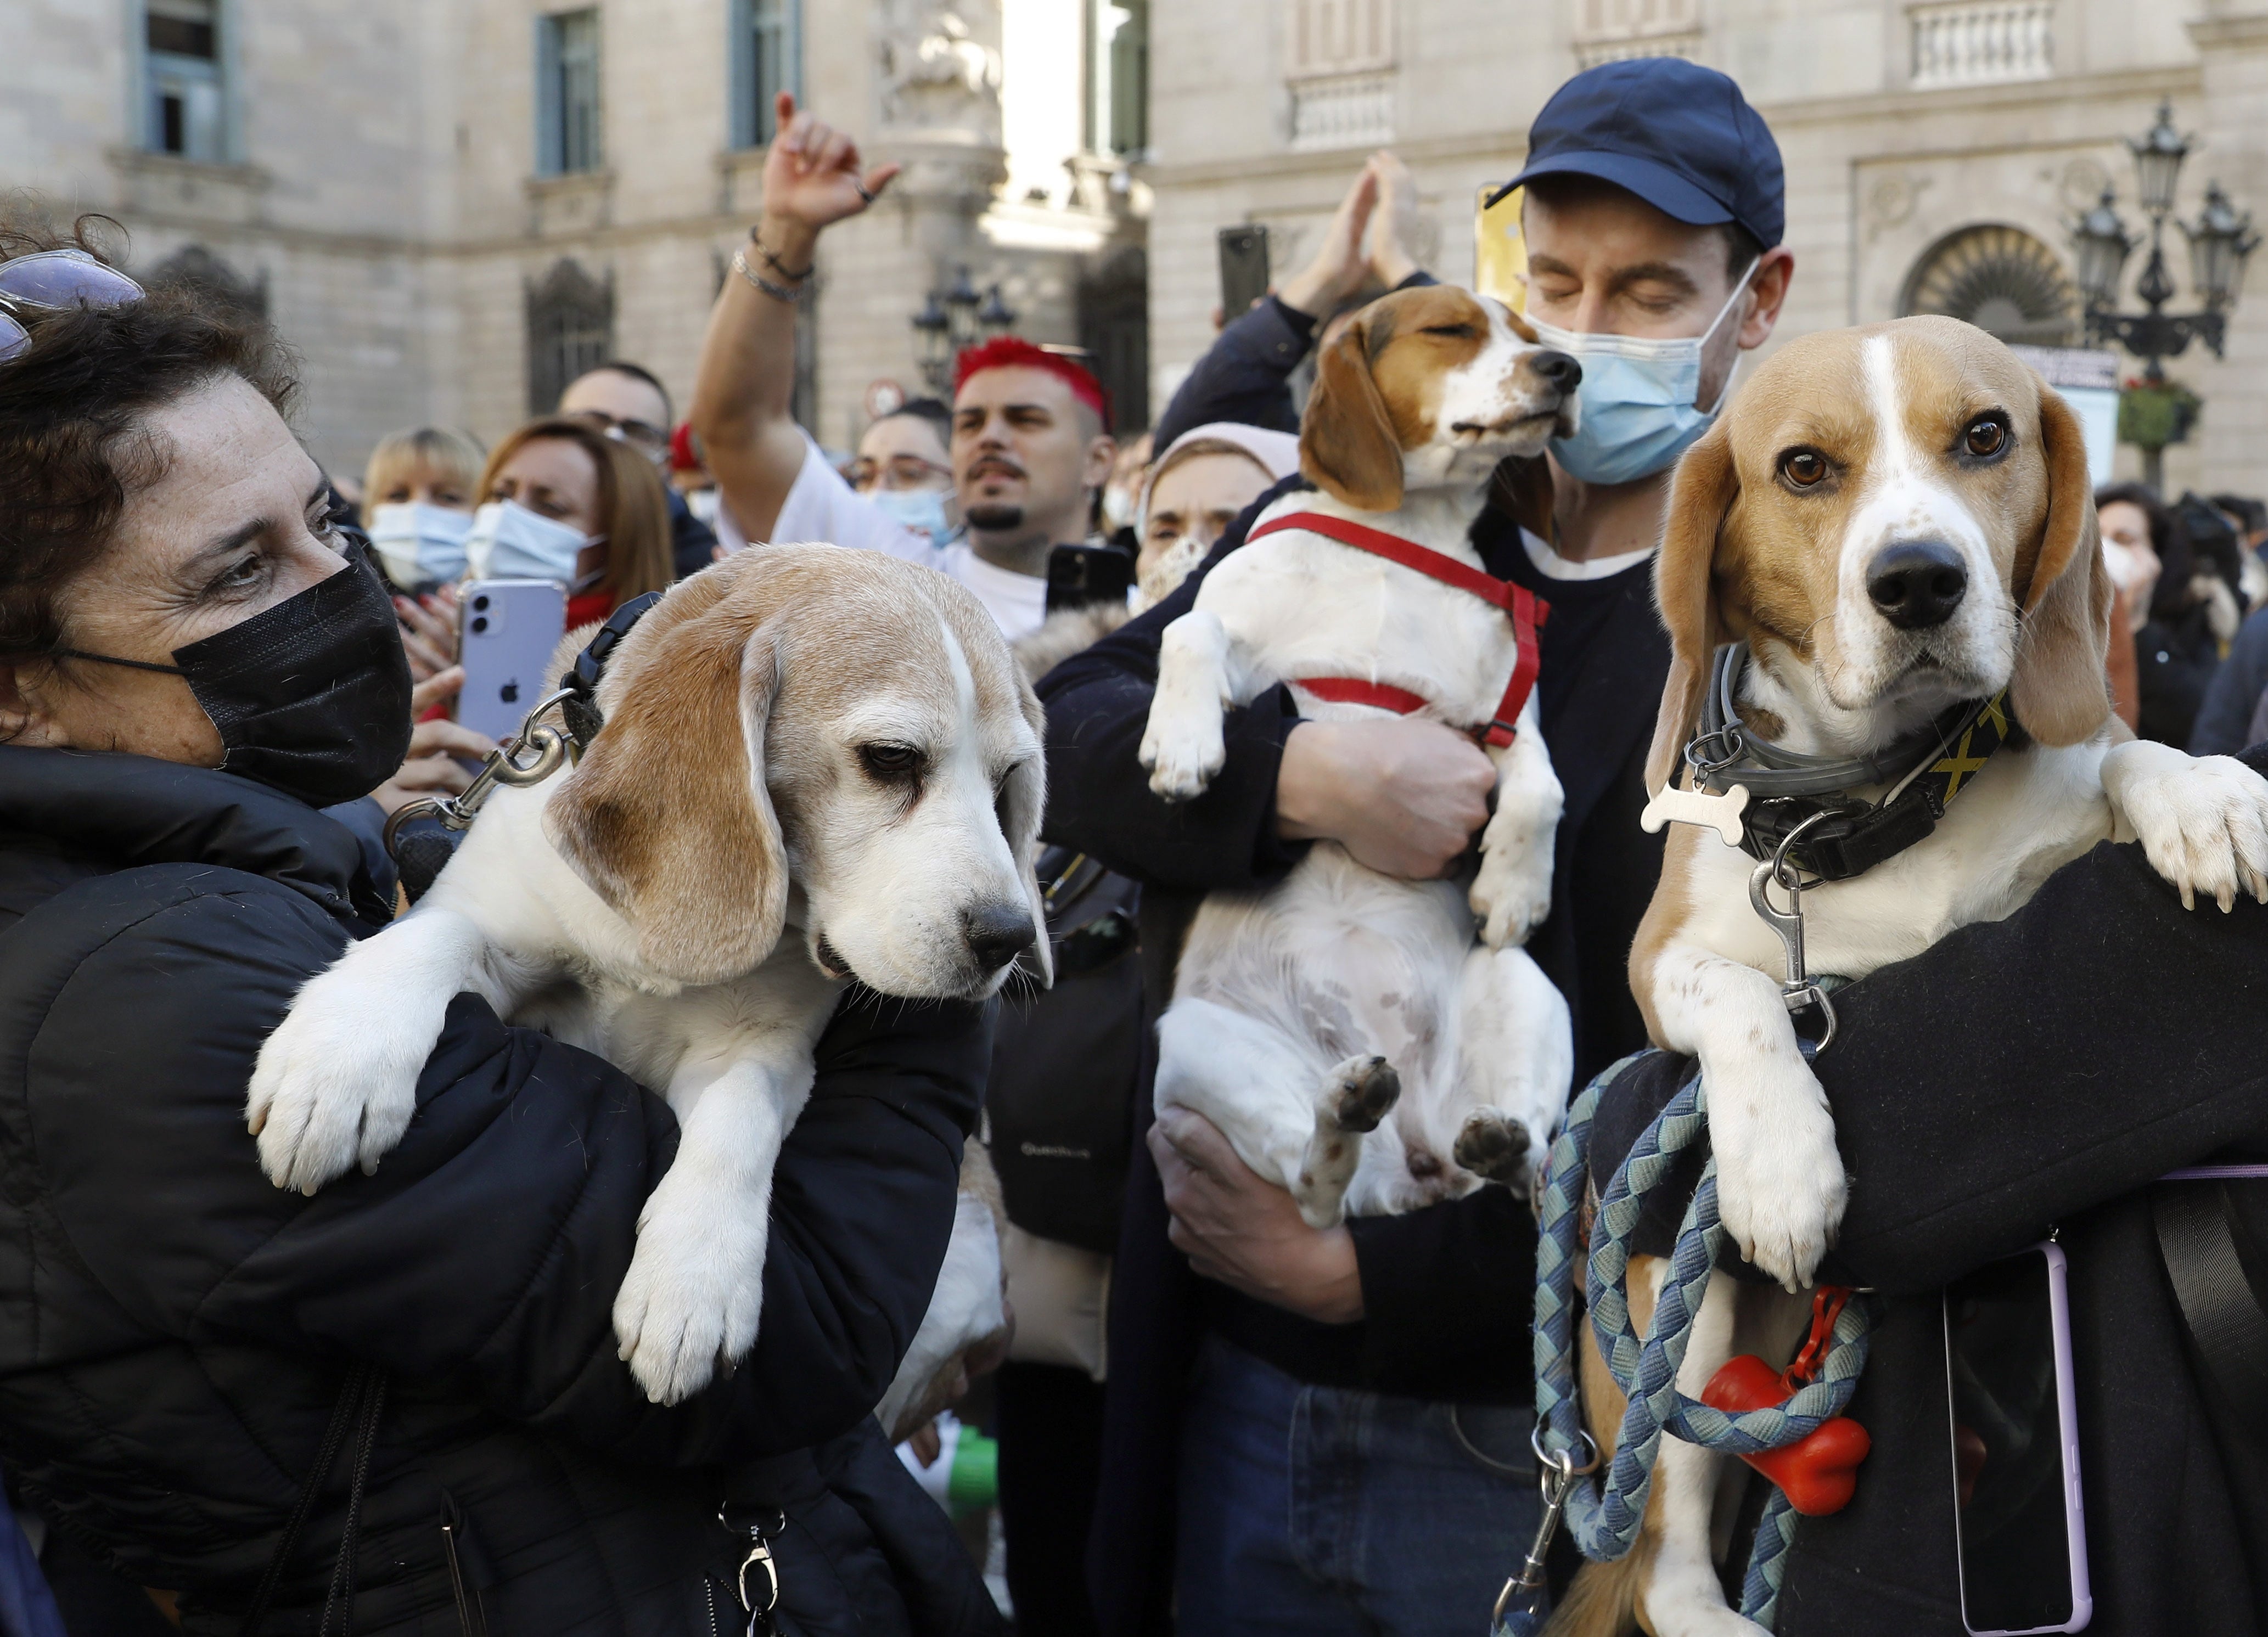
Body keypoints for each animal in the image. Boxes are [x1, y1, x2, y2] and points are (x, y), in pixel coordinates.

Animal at [252, 544, 1047, 1405]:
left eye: (1006, 780)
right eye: (892, 759)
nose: (1008, 936)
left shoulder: (762, 1049)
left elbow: (739, 1115)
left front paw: (696, 1280)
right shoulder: (491, 933)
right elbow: (434, 936)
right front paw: (341, 1059)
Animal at [1134, 283, 1596, 1224]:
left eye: (1532, 330)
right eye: (1450, 329)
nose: (1566, 368)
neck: (1404, 536)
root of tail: (1413, 1157)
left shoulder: (1501, 715)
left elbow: (1541, 785)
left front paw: (1513, 886)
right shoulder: (1237, 638)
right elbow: (1189, 629)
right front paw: (1184, 742)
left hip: (1526, 989)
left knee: (1528, 1161)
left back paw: (1496, 1141)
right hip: (1198, 1041)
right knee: (1310, 1187)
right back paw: (1345, 1112)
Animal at [1560, 313, 2268, 1623]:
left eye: (1985, 436)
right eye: (1801, 468)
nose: (1919, 579)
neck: (1881, 805)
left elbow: (2115, 752)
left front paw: (2200, 793)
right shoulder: (1654, 965)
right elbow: (1739, 991)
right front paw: (1783, 1167)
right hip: (1672, 1323)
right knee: (1669, 1568)